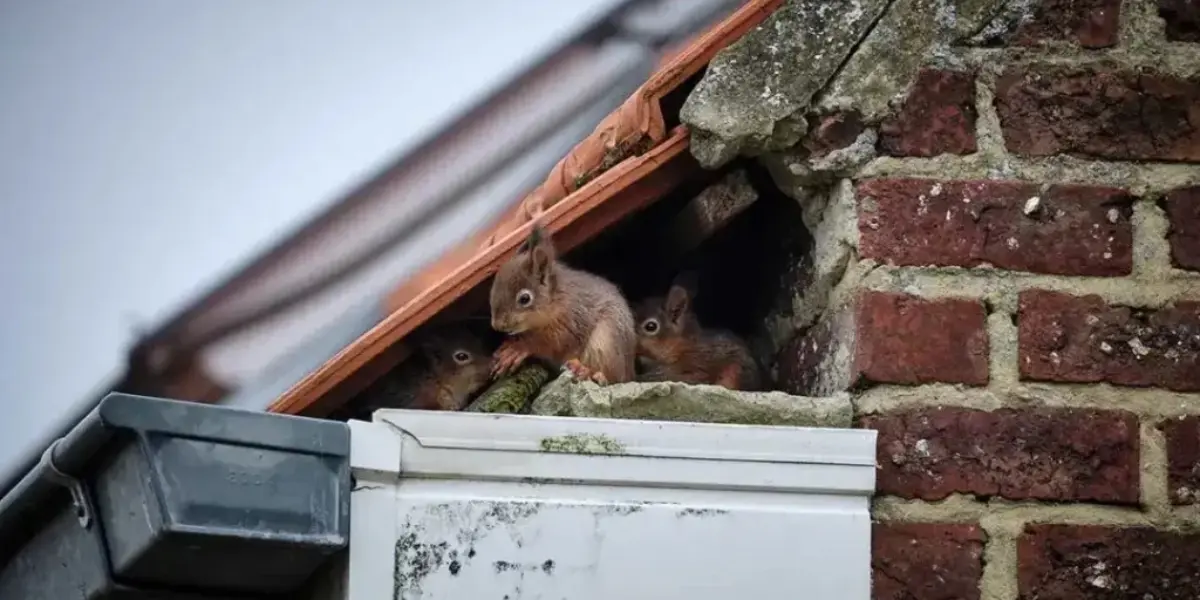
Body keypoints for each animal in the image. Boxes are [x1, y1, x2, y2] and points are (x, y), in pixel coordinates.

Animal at [488, 224, 637, 385]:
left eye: (524, 299)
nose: (497, 325)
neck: (556, 300)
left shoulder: (571, 320)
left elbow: (550, 343)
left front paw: (517, 349)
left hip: (607, 343)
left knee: (614, 377)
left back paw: (588, 372)